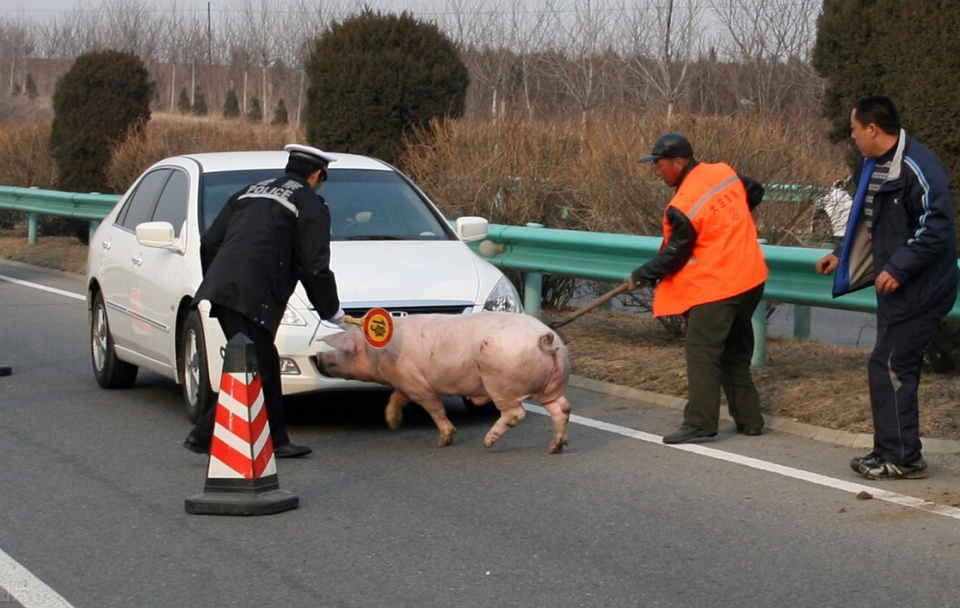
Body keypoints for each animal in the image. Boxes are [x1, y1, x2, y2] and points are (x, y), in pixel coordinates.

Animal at [316, 314, 568, 452]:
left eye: (342, 350)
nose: (319, 356)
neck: (378, 353)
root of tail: (545, 338)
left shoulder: (417, 384)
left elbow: (434, 408)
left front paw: (444, 440)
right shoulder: (406, 382)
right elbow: (395, 397)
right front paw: (393, 423)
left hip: (501, 382)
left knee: (516, 413)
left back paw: (487, 443)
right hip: (551, 386)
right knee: (562, 408)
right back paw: (555, 448)